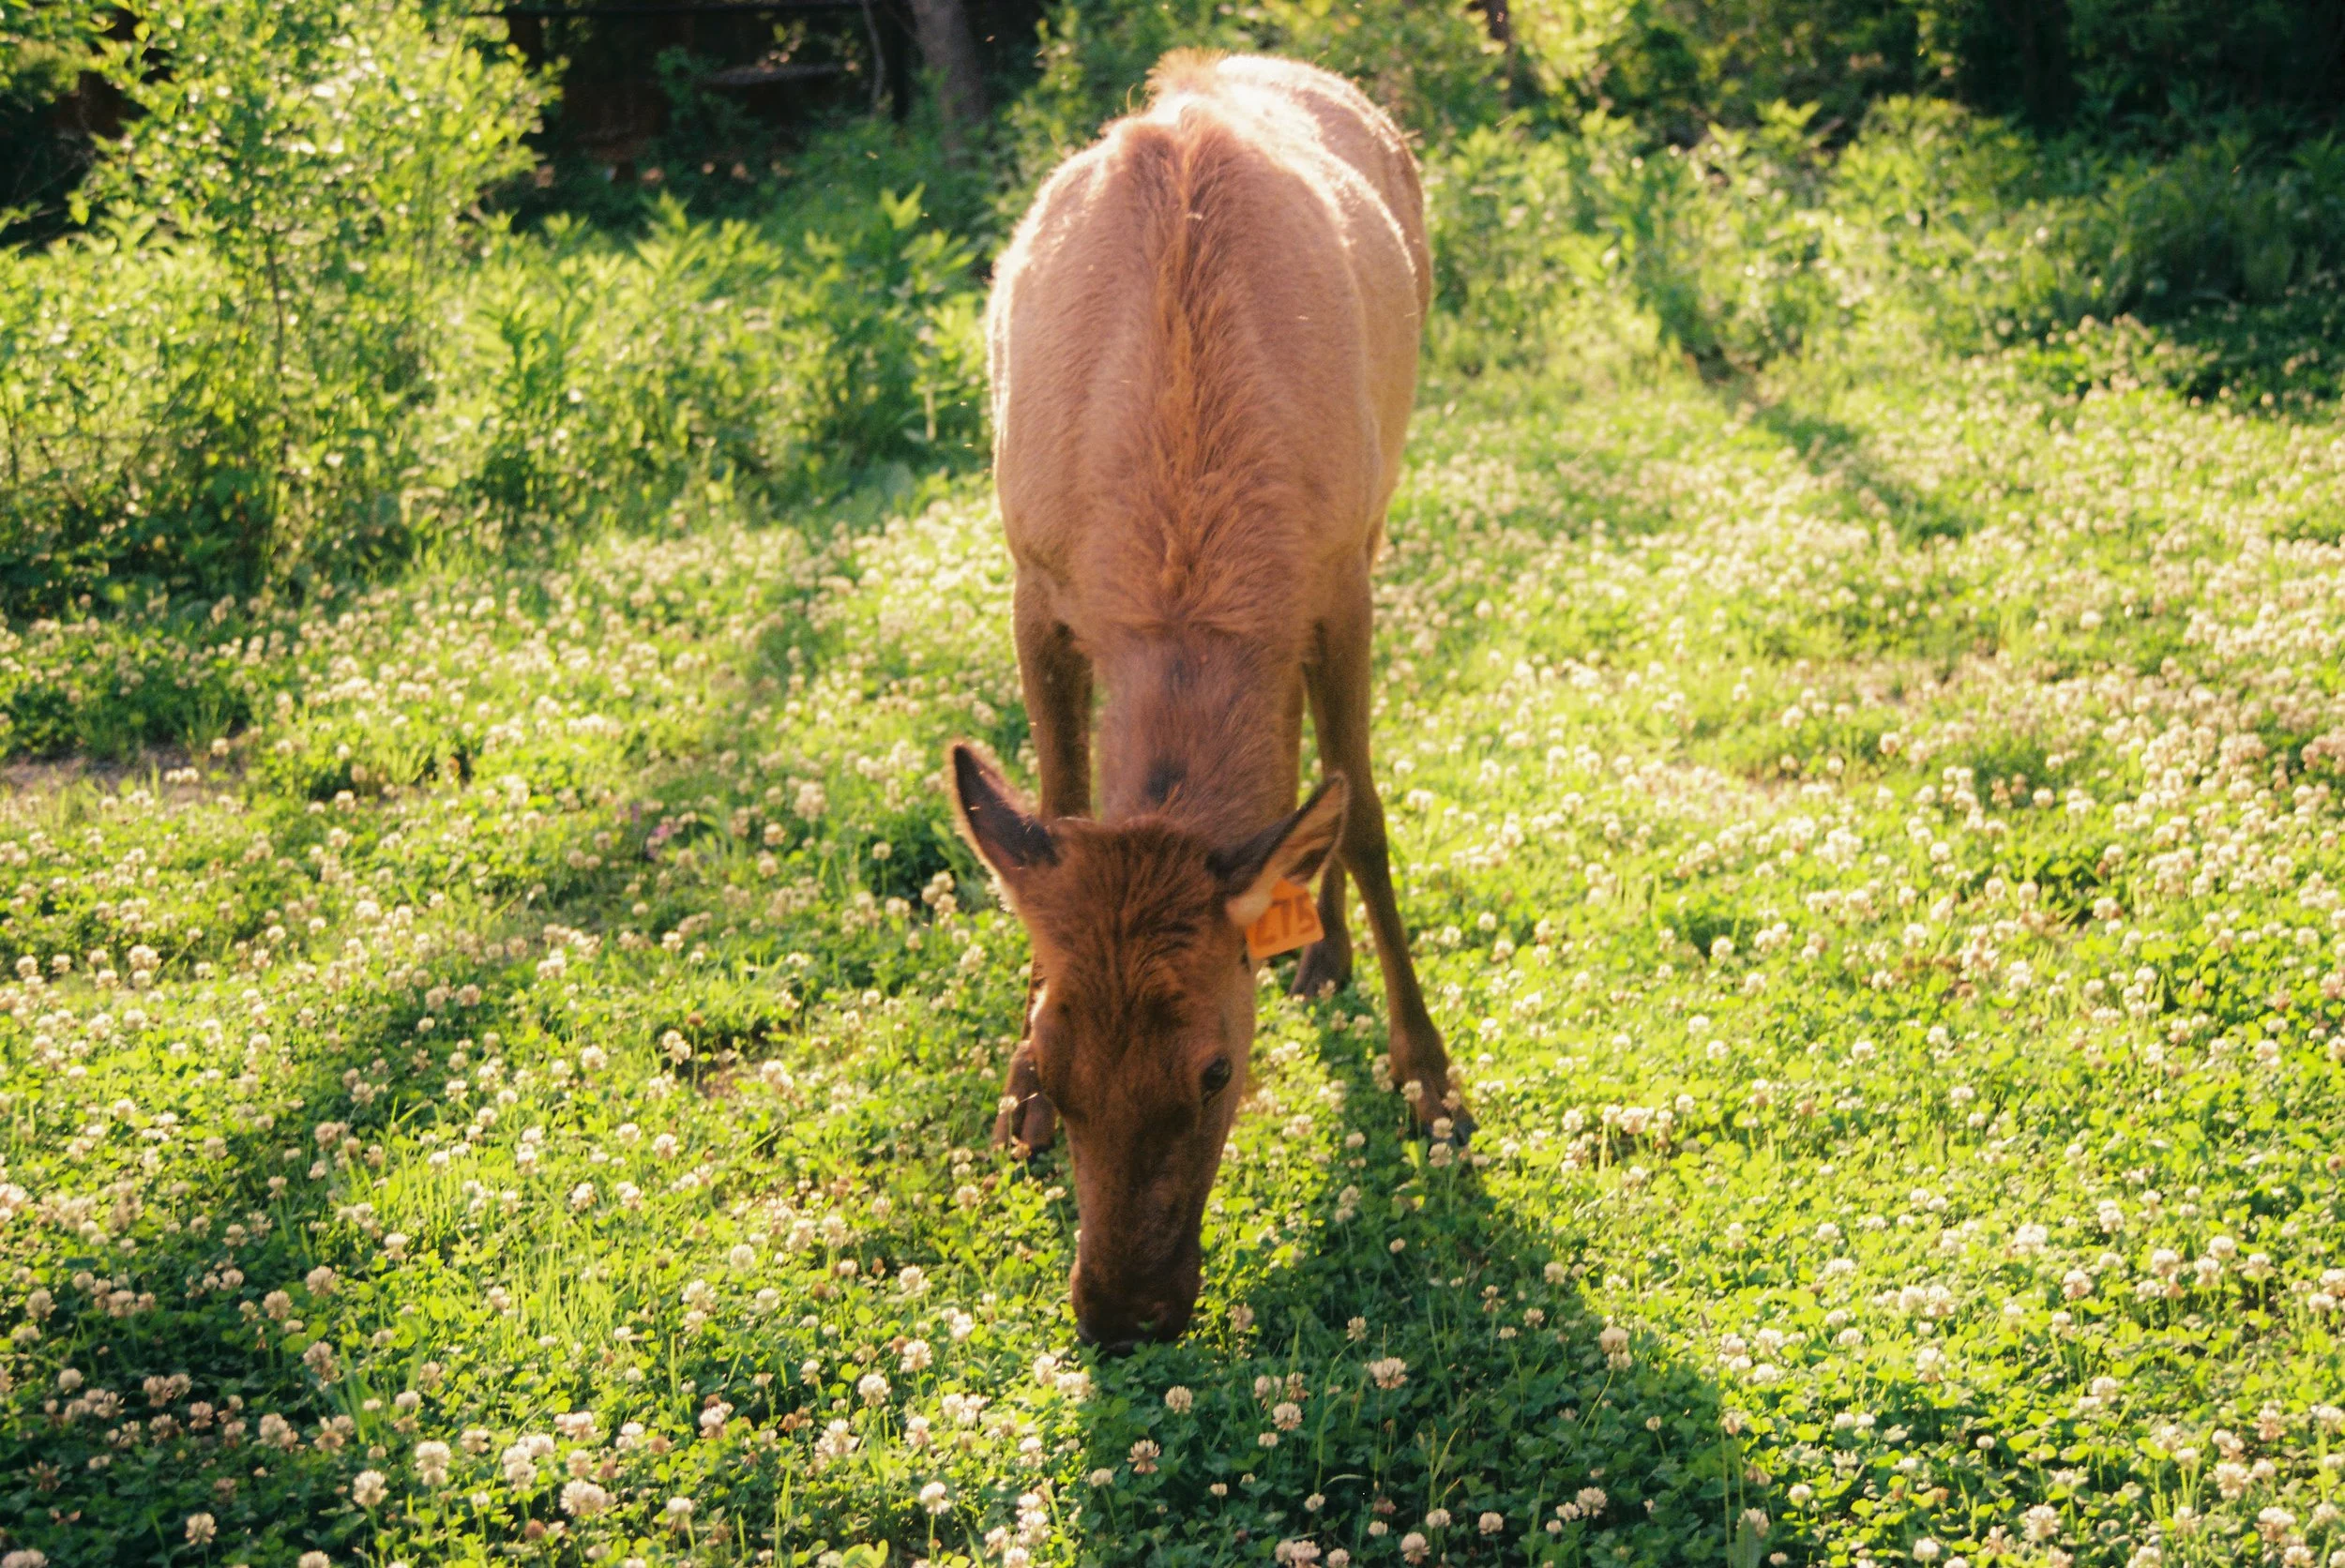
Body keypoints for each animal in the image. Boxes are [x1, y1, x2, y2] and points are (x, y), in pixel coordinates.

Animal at [949, 50, 1461, 1353]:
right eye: (1057, 1064)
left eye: (1216, 1070)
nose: (1121, 1312)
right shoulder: (1032, 577)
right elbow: (1055, 806)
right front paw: (1008, 1103)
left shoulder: (1339, 576)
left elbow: (1363, 815)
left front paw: (1428, 1071)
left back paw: (1323, 946)